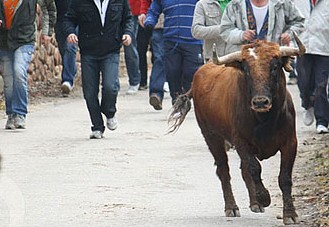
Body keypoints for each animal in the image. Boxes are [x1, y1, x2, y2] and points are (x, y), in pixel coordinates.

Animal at [169, 32, 304, 224]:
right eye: (246, 69)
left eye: (275, 66)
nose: (260, 102)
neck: (265, 119)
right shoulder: (241, 142)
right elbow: (254, 168)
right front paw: (264, 197)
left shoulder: (290, 143)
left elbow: (284, 178)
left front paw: (290, 214)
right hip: (212, 137)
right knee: (223, 170)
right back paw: (232, 207)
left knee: (242, 170)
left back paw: (254, 204)